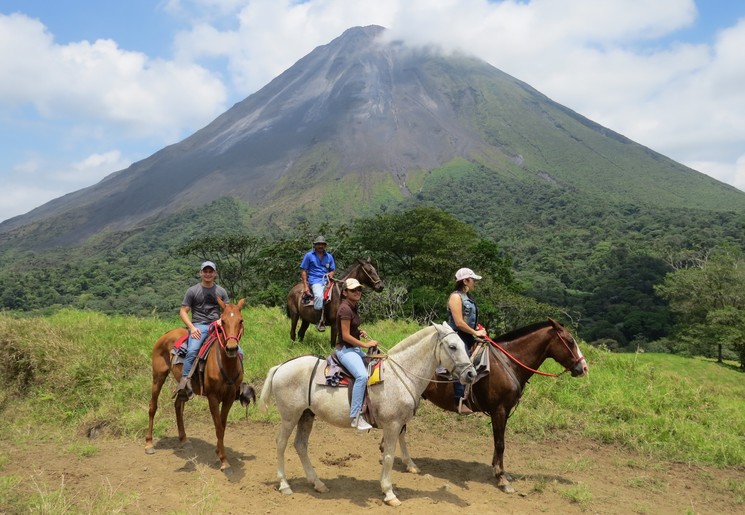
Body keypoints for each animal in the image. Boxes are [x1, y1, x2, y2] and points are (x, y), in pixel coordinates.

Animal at [144, 296, 254, 474]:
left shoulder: (229, 397)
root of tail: (166, 334)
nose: (231, 348)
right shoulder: (212, 398)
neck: (226, 365)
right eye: (223, 321)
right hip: (158, 376)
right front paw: (224, 461)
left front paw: (218, 452)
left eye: (241, 320)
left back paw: (184, 439)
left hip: (182, 386)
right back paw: (149, 443)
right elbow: (218, 426)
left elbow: (222, 425)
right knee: (152, 406)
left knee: (178, 405)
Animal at [258, 324, 474, 506]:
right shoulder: (392, 425)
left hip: (306, 415)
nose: (471, 374)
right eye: (453, 346)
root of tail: (281, 367)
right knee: (281, 443)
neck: (400, 376)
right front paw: (389, 493)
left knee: (300, 445)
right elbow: (389, 456)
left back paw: (317, 483)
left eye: (464, 345)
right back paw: (284, 484)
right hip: (290, 416)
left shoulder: (398, 425)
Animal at [396, 320, 588, 494]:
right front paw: (502, 479)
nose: (584, 368)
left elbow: (498, 442)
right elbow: (500, 443)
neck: (508, 362)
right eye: (570, 341)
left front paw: (498, 471)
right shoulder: (499, 410)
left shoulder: (505, 410)